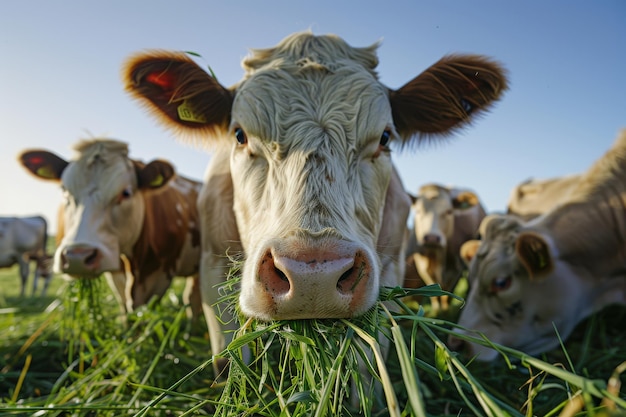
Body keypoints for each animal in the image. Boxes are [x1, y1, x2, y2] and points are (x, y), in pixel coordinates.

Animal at [18, 140, 201, 318]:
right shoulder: (117, 274)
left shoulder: (161, 273)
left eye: (126, 193)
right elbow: (126, 305)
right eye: (64, 191)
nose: (77, 257)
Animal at [122, 31, 508, 370]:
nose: (314, 278)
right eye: (240, 134)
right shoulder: (212, 265)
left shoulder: (391, 267)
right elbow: (229, 365)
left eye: (384, 138)